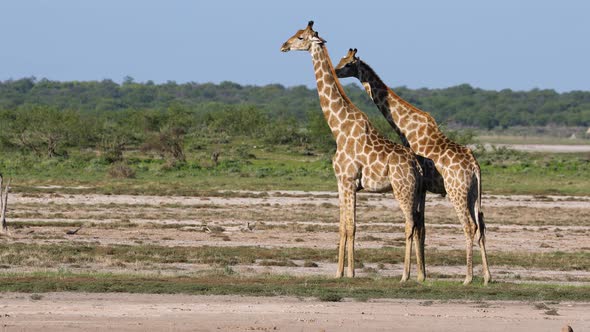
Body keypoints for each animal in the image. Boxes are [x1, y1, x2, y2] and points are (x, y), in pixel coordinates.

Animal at [284, 20, 428, 282]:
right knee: (420, 225)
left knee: (409, 224)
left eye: (300, 37)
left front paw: (350, 272)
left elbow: (351, 227)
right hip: (419, 193)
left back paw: (405, 275)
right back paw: (421, 275)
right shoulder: (341, 182)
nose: (283, 46)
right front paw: (339, 272)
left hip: (403, 189)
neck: (338, 128)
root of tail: (418, 167)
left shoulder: (349, 181)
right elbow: (343, 226)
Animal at [338, 48, 494, 286]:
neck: (406, 128)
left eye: (347, 64)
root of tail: (475, 166)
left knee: (469, 225)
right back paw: (486, 277)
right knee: (482, 223)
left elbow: (418, 225)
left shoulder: (420, 186)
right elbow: (422, 226)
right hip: (473, 194)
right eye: (341, 60)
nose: (336, 72)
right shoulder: (423, 188)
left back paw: (468, 278)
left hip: (456, 191)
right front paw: (423, 274)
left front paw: (417, 273)